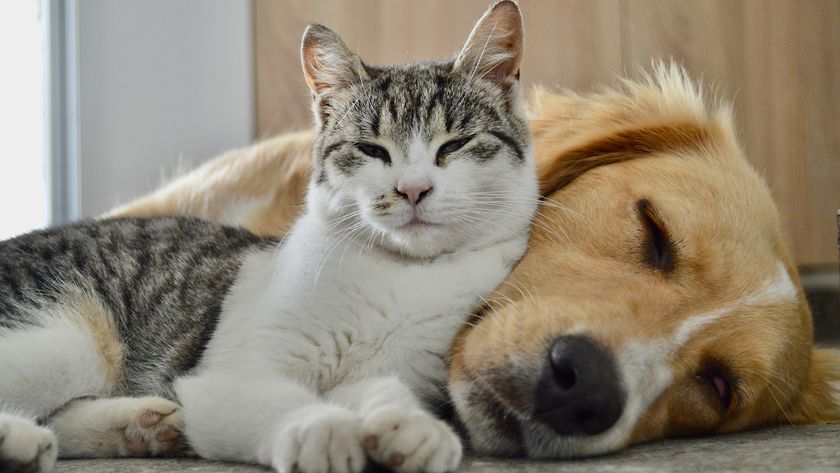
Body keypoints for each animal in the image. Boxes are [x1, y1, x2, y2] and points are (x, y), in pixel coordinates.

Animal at [0, 1, 536, 470]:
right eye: (371, 150)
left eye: (455, 144)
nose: (412, 189)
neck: (402, 275)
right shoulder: (227, 375)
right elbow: (282, 403)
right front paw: (324, 431)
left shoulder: (390, 371)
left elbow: (380, 389)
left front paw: (409, 425)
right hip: (69, 340)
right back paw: (20, 440)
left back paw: (139, 425)